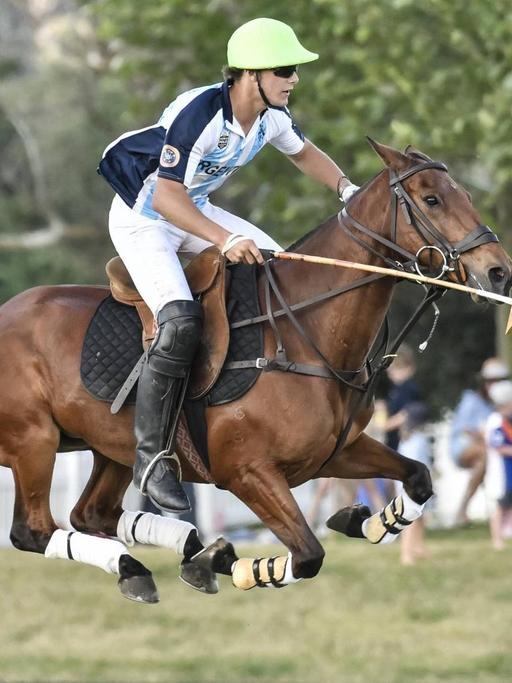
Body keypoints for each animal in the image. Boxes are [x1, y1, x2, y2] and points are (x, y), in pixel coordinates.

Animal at [2, 142, 510, 600]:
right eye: (432, 199)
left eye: (465, 193)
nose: (498, 272)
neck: (305, 331)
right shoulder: (247, 472)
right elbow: (307, 555)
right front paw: (237, 566)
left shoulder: (335, 451)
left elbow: (420, 477)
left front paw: (364, 521)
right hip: (34, 441)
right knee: (34, 530)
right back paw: (163, 557)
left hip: (112, 448)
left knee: (91, 514)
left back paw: (157, 560)